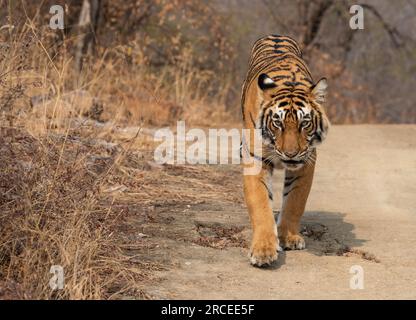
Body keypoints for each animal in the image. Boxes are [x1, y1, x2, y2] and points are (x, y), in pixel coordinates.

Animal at [240, 33, 328, 266]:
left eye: (304, 123)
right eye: (277, 123)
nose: (290, 154)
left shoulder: (307, 161)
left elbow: (295, 201)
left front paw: (288, 237)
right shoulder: (255, 158)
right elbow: (261, 204)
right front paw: (263, 250)